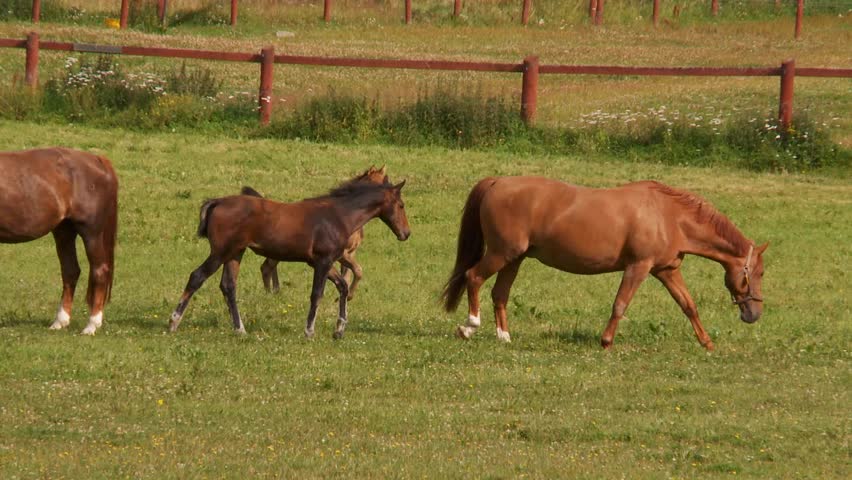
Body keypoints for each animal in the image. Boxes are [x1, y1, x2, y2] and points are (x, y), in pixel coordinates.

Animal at [0, 148, 118, 335]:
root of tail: (97, 160)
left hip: (92, 233)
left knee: (99, 271)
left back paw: (91, 325)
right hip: (64, 231)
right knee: (71, 271)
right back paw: (60, 321)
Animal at [248, 165, 390, 299]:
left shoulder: (350, 252)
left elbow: (349, 274)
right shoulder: (341, 254)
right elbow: (356, 270)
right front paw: (346, 297)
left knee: (268, 266)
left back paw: (275, 291)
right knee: (266, 267)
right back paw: (270, 293)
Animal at [442, 176, 767, 350]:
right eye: (759, 272)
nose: (754, 314)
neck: (668, 216)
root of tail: (497, 182)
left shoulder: (666, 270)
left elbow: (688, 306)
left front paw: (707, 343)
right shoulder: (639, 267)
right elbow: (620, 305)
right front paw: (606, 341)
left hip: (514, 259)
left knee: (499, 294)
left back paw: (504, 337)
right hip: (501, 254)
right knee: (473, 277)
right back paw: (469, 327)